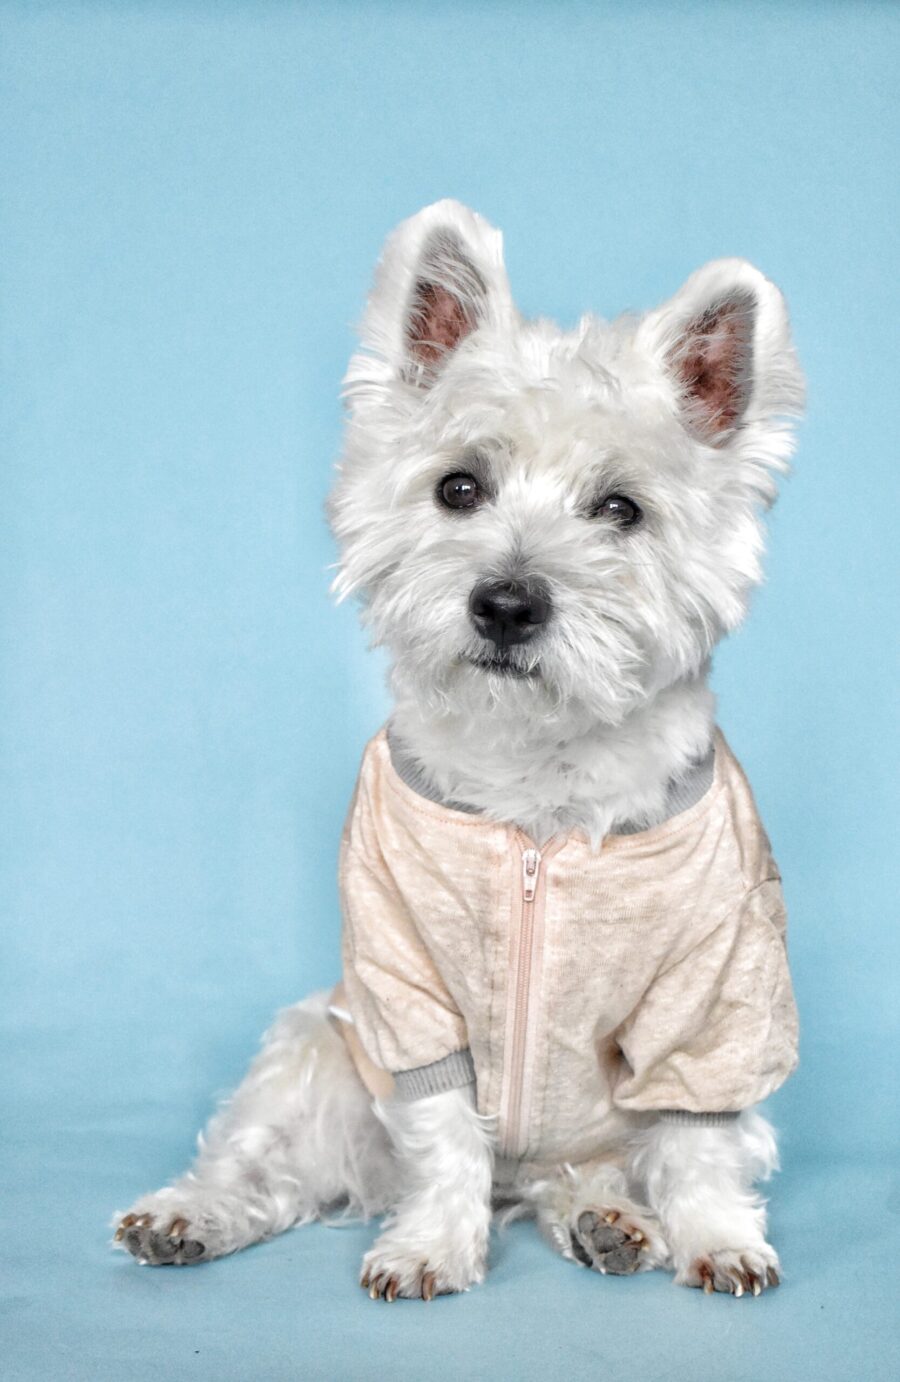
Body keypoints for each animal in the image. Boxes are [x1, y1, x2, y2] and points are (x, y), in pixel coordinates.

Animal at [112, 200, 801, 1299]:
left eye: (620, 508)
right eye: (459, 486)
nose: (508, 603)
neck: (537, 801)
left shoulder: (720, 997)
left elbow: (699, 1142)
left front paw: (717, 1238)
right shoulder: (404, 981)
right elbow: (439, 1133)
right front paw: (429, 1245)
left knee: (591, 1168)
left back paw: (607, 1217)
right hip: (315, 1048)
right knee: (268, 1164)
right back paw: (187, 1215)